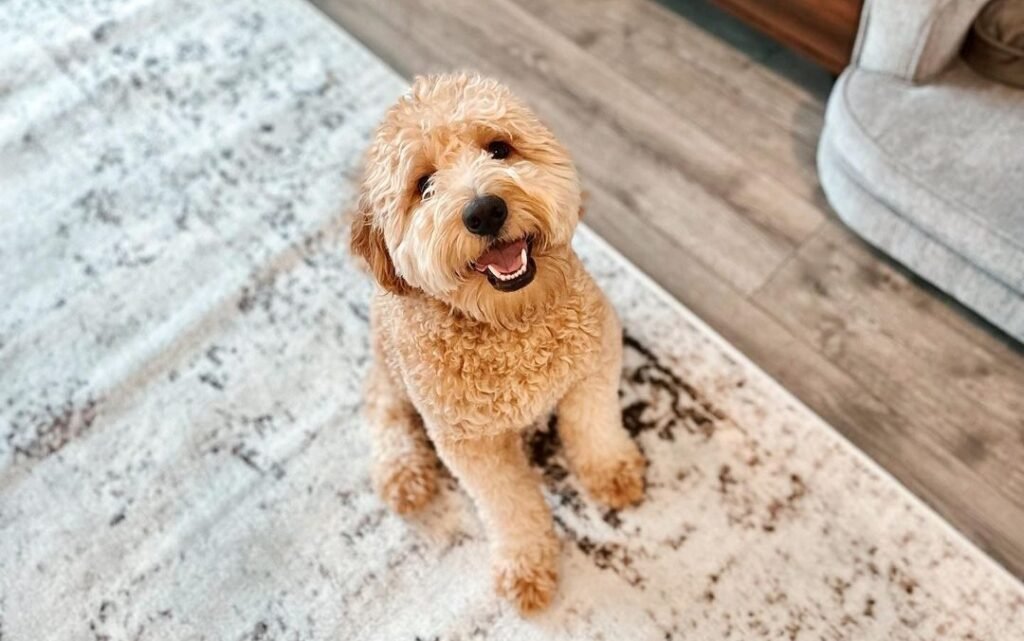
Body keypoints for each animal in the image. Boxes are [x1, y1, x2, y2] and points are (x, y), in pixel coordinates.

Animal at [348, 72, 643, 610]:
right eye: (424, 185)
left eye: (499, 148)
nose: (485, 211)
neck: (510, 326)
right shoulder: (470, 443)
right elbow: (509, 504)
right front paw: (525, 565)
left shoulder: (595, 364)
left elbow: (593, 427)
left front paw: (610, 472)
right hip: (392, 371)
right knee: (381, 405)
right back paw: (402, 474)